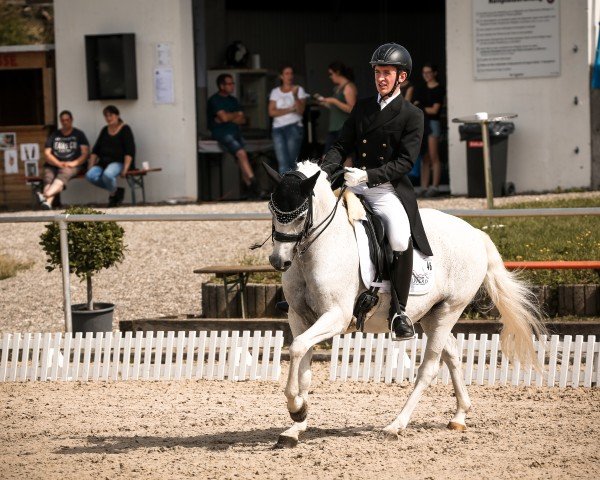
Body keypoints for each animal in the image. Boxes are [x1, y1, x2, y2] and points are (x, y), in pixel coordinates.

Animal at [264, 159, 548, 448]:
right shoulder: (299, 318)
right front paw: (297, 423)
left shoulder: (336, 317)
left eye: (300, 216)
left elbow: (297, 348)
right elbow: (303, 364)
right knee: (452, 354)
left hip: (450, 309)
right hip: (431, 315)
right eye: (272, 210)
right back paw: (459, 416)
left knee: (429, 369)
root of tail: (475, 233)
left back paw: (396, 425)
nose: (279, 261)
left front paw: (296, 409)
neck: (318, 248)